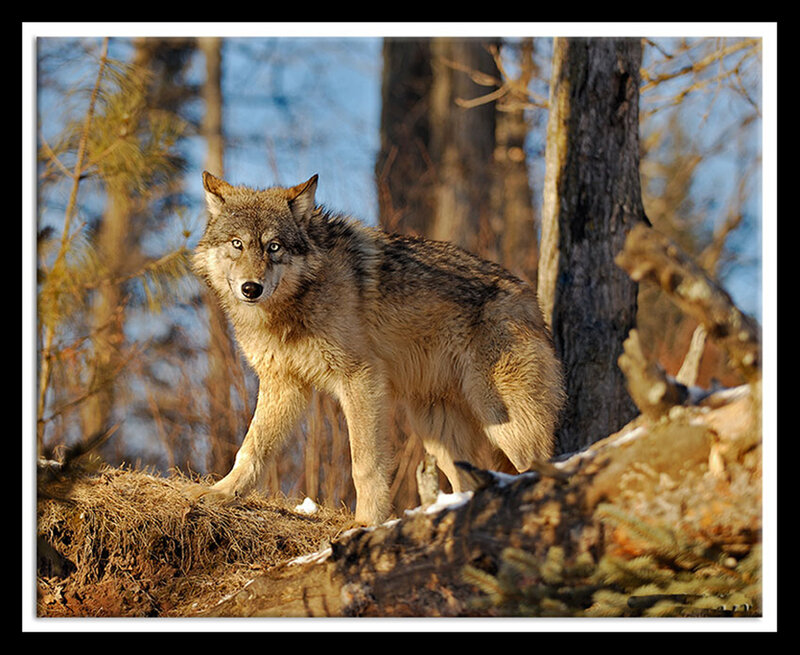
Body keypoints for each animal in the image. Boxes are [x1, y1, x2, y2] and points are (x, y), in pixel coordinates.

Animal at [192, 171, 565, 525]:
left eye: (273, 247)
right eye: (237, 244)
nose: (251, 288)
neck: (295, 303)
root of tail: (531, 299)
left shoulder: (361, 379)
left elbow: (365, 463)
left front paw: (367, 522)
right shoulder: (283, 383)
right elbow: (252, 447)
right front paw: (223, 491)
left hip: (504, 421)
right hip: (436, 429)